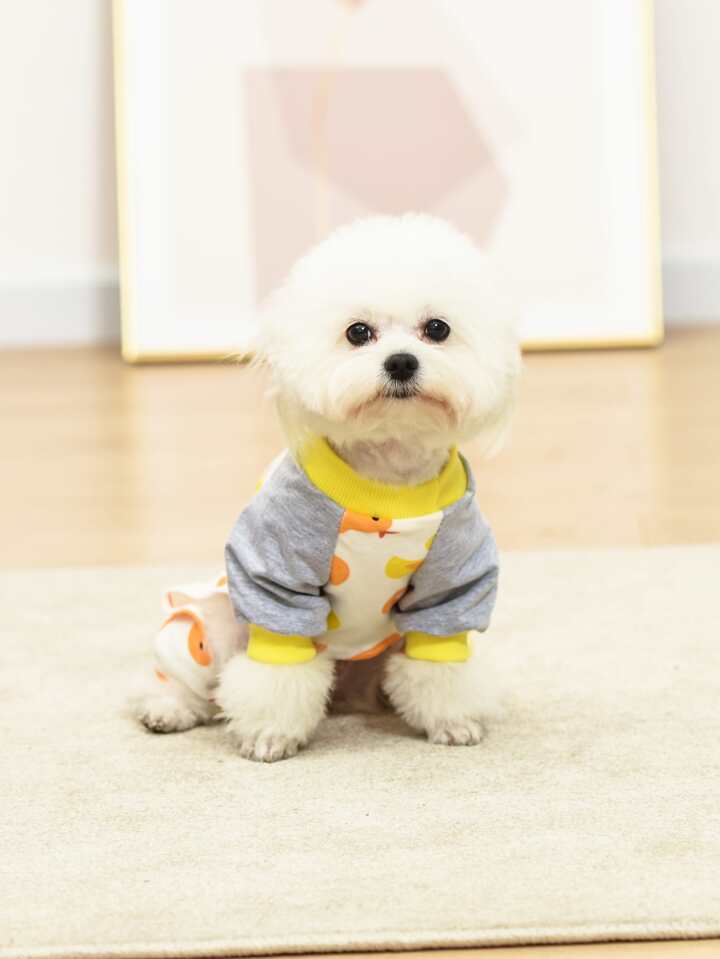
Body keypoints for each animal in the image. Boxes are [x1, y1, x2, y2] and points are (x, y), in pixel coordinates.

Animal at [134, 213, 520, 762]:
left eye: (437, 329)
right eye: (358, 332)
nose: (401, 362)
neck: (386, 482)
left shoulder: (453, 585)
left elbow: (441, 663)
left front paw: (452, 721)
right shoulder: (276, 580)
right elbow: (277, 670)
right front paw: (269, 734)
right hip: (214, 622)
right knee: (186, 674)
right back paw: (167, 708)